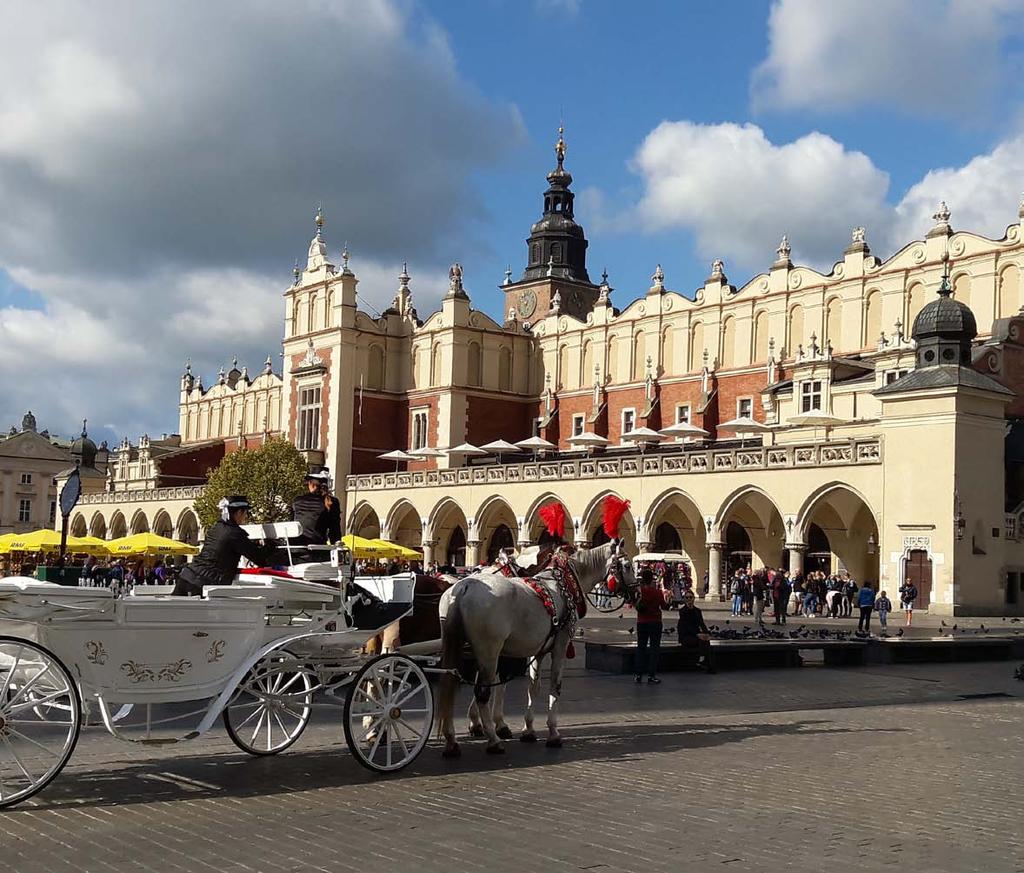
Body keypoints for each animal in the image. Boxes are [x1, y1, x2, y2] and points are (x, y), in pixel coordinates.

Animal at [434, 536, 630, 757]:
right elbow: (553, 685)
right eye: (627, 565)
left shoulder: (539, 649)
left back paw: (452, 740)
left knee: (451, 683)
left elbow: (532, 687)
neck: (564, 583)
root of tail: (463, 587)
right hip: (488, 649)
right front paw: (552, 733)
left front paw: (526, 729)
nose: (637, 592)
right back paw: (493, 741)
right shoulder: (560, 644)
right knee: (482, 692)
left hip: (457, 644)